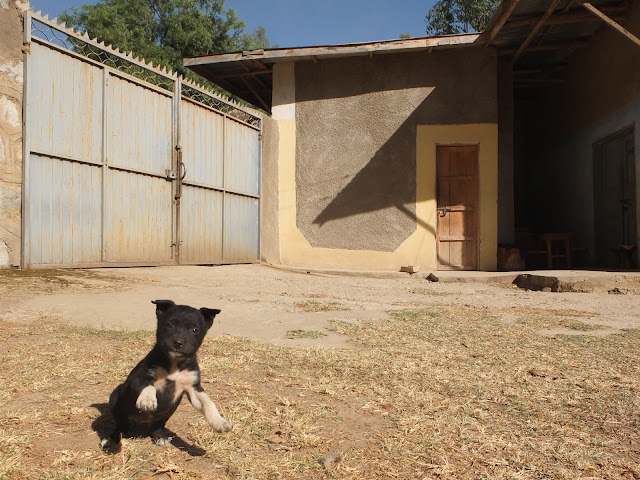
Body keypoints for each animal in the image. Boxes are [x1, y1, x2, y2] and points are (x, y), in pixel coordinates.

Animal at [101, 300, 233, 451]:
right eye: (168, 325)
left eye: (195, 330)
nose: (178, 342)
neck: (175, 364)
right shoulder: (138, 377)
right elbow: (149, 385)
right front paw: (147, 400)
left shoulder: (194, 388)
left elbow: (208, 403)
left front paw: (220, 422)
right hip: (117, 401)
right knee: (120, 426)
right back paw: (111, 440)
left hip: (170, 409)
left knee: (158, 425)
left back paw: (160, 436)